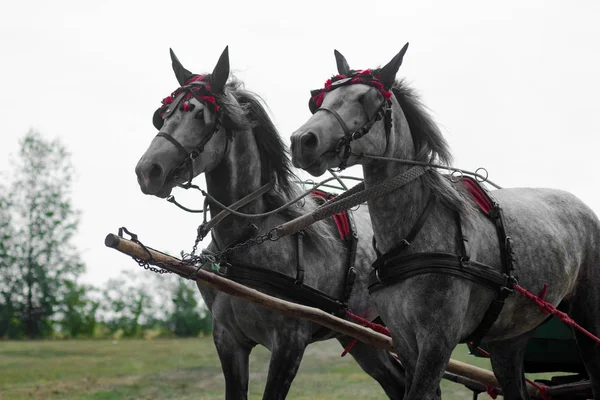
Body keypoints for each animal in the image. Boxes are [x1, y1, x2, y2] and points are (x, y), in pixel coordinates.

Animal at [135, 47, 406, 400]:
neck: (247, 239)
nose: (147, 171)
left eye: (198, 115)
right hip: (358, 334)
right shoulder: (227, 340)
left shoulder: (290, 343)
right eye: (163, 115)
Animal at [290, 43, 600, 400]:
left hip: (588, 316)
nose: (302, 140)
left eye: (367, 99)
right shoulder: (404, 338)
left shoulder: (438, 341)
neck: (411, 235)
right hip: (509, 339)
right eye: (319, 99)